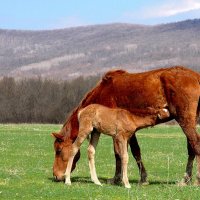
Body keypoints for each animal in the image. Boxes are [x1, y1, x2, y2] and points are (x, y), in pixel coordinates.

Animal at [52, 66, 200, 186]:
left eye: (58, 150)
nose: (56, 176)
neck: (103, 93)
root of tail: (196, 77)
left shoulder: (119, 132)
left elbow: (121, 153)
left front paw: (119, 178)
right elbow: (133, 152)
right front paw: (140, 178)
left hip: (185, 120)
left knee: (195, 144)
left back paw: (196, 180)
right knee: (191, 148)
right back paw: (186, 179)